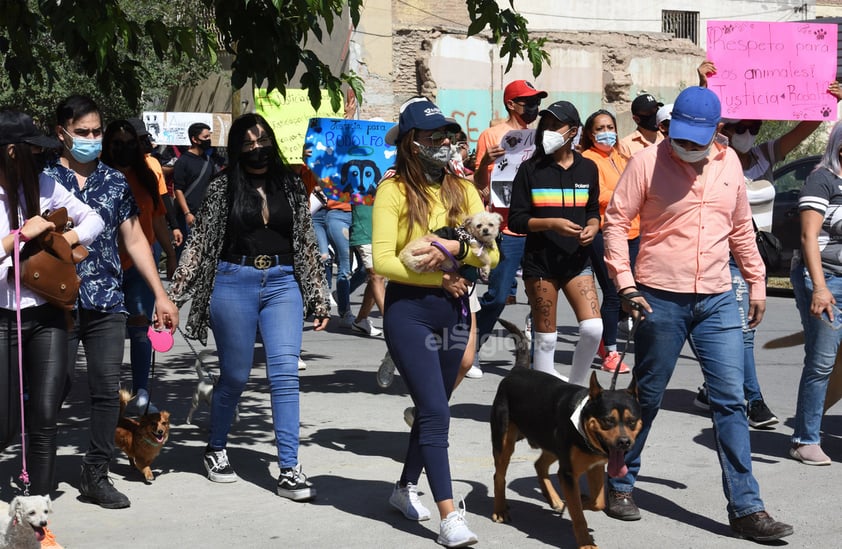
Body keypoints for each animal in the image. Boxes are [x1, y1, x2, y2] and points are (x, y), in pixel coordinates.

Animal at [488, 368, 640, 548]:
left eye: (632, 421)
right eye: (608, 420)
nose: (624, 442)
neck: (582, 423)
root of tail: (516, 370)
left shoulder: (595, 464)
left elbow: (598, 502)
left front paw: (581, 502)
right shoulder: (568, 473)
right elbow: (578, 514)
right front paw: (585, 542)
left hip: (552, 443)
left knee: (539, 464)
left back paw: (554, 499)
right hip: (504, 441)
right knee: (499, 475)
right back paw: (500, 510)